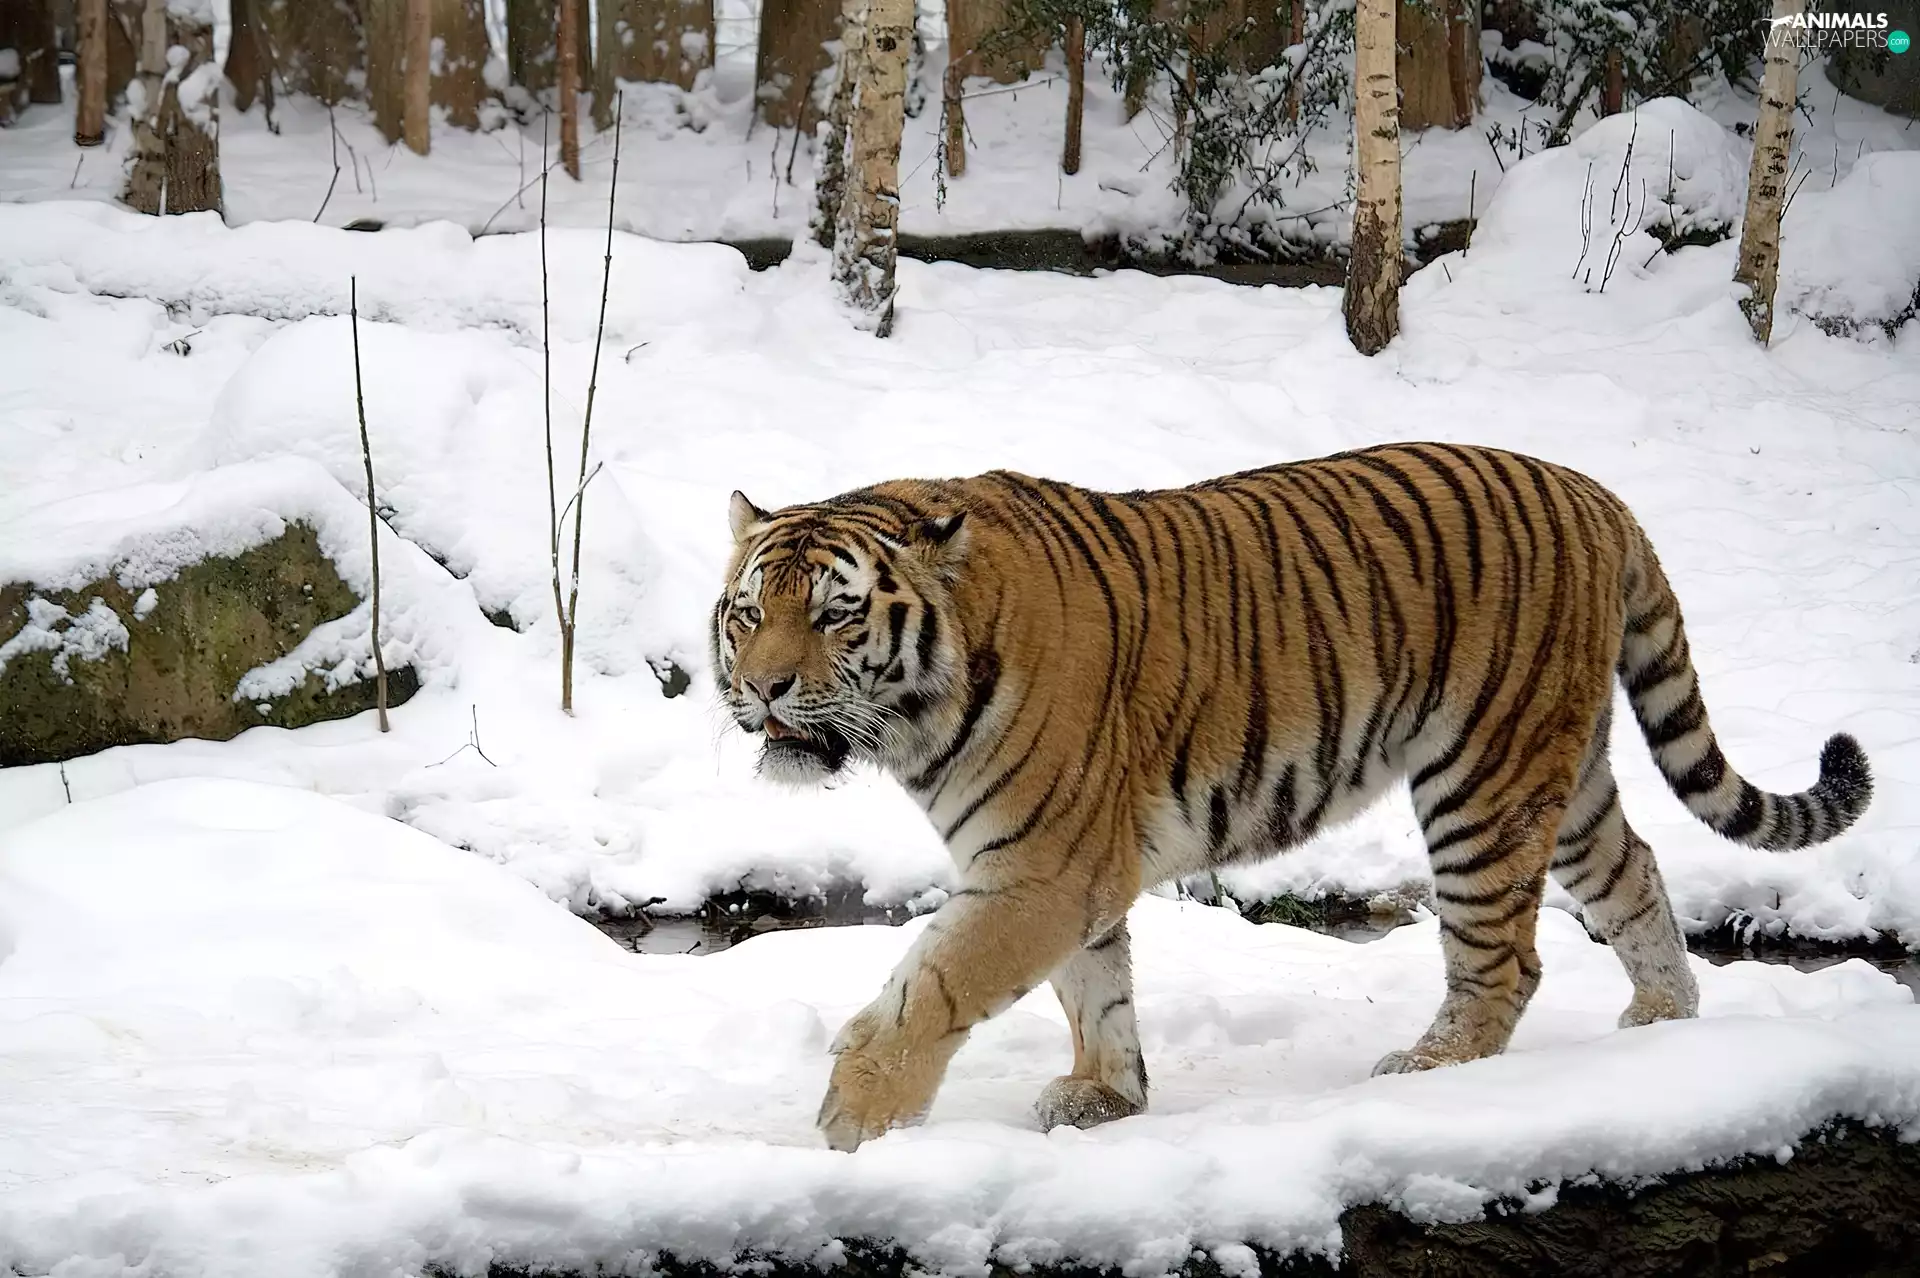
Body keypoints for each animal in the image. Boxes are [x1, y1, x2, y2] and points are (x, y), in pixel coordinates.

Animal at [709, 442, 1873, 1153]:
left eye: (834, 615)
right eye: (748, 613)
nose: (762, 688)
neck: (920, 709)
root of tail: (1597, 493)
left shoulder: (1042, 868)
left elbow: (932, 989)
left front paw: (853, 1124)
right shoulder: (1065, 869)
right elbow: (1096, 988)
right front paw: (1106, 1096)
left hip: (1482, 779)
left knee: (1506, 957)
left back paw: (1430, 1070)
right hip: (1563, 769)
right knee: (1632, 871)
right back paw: (1660, 1026)